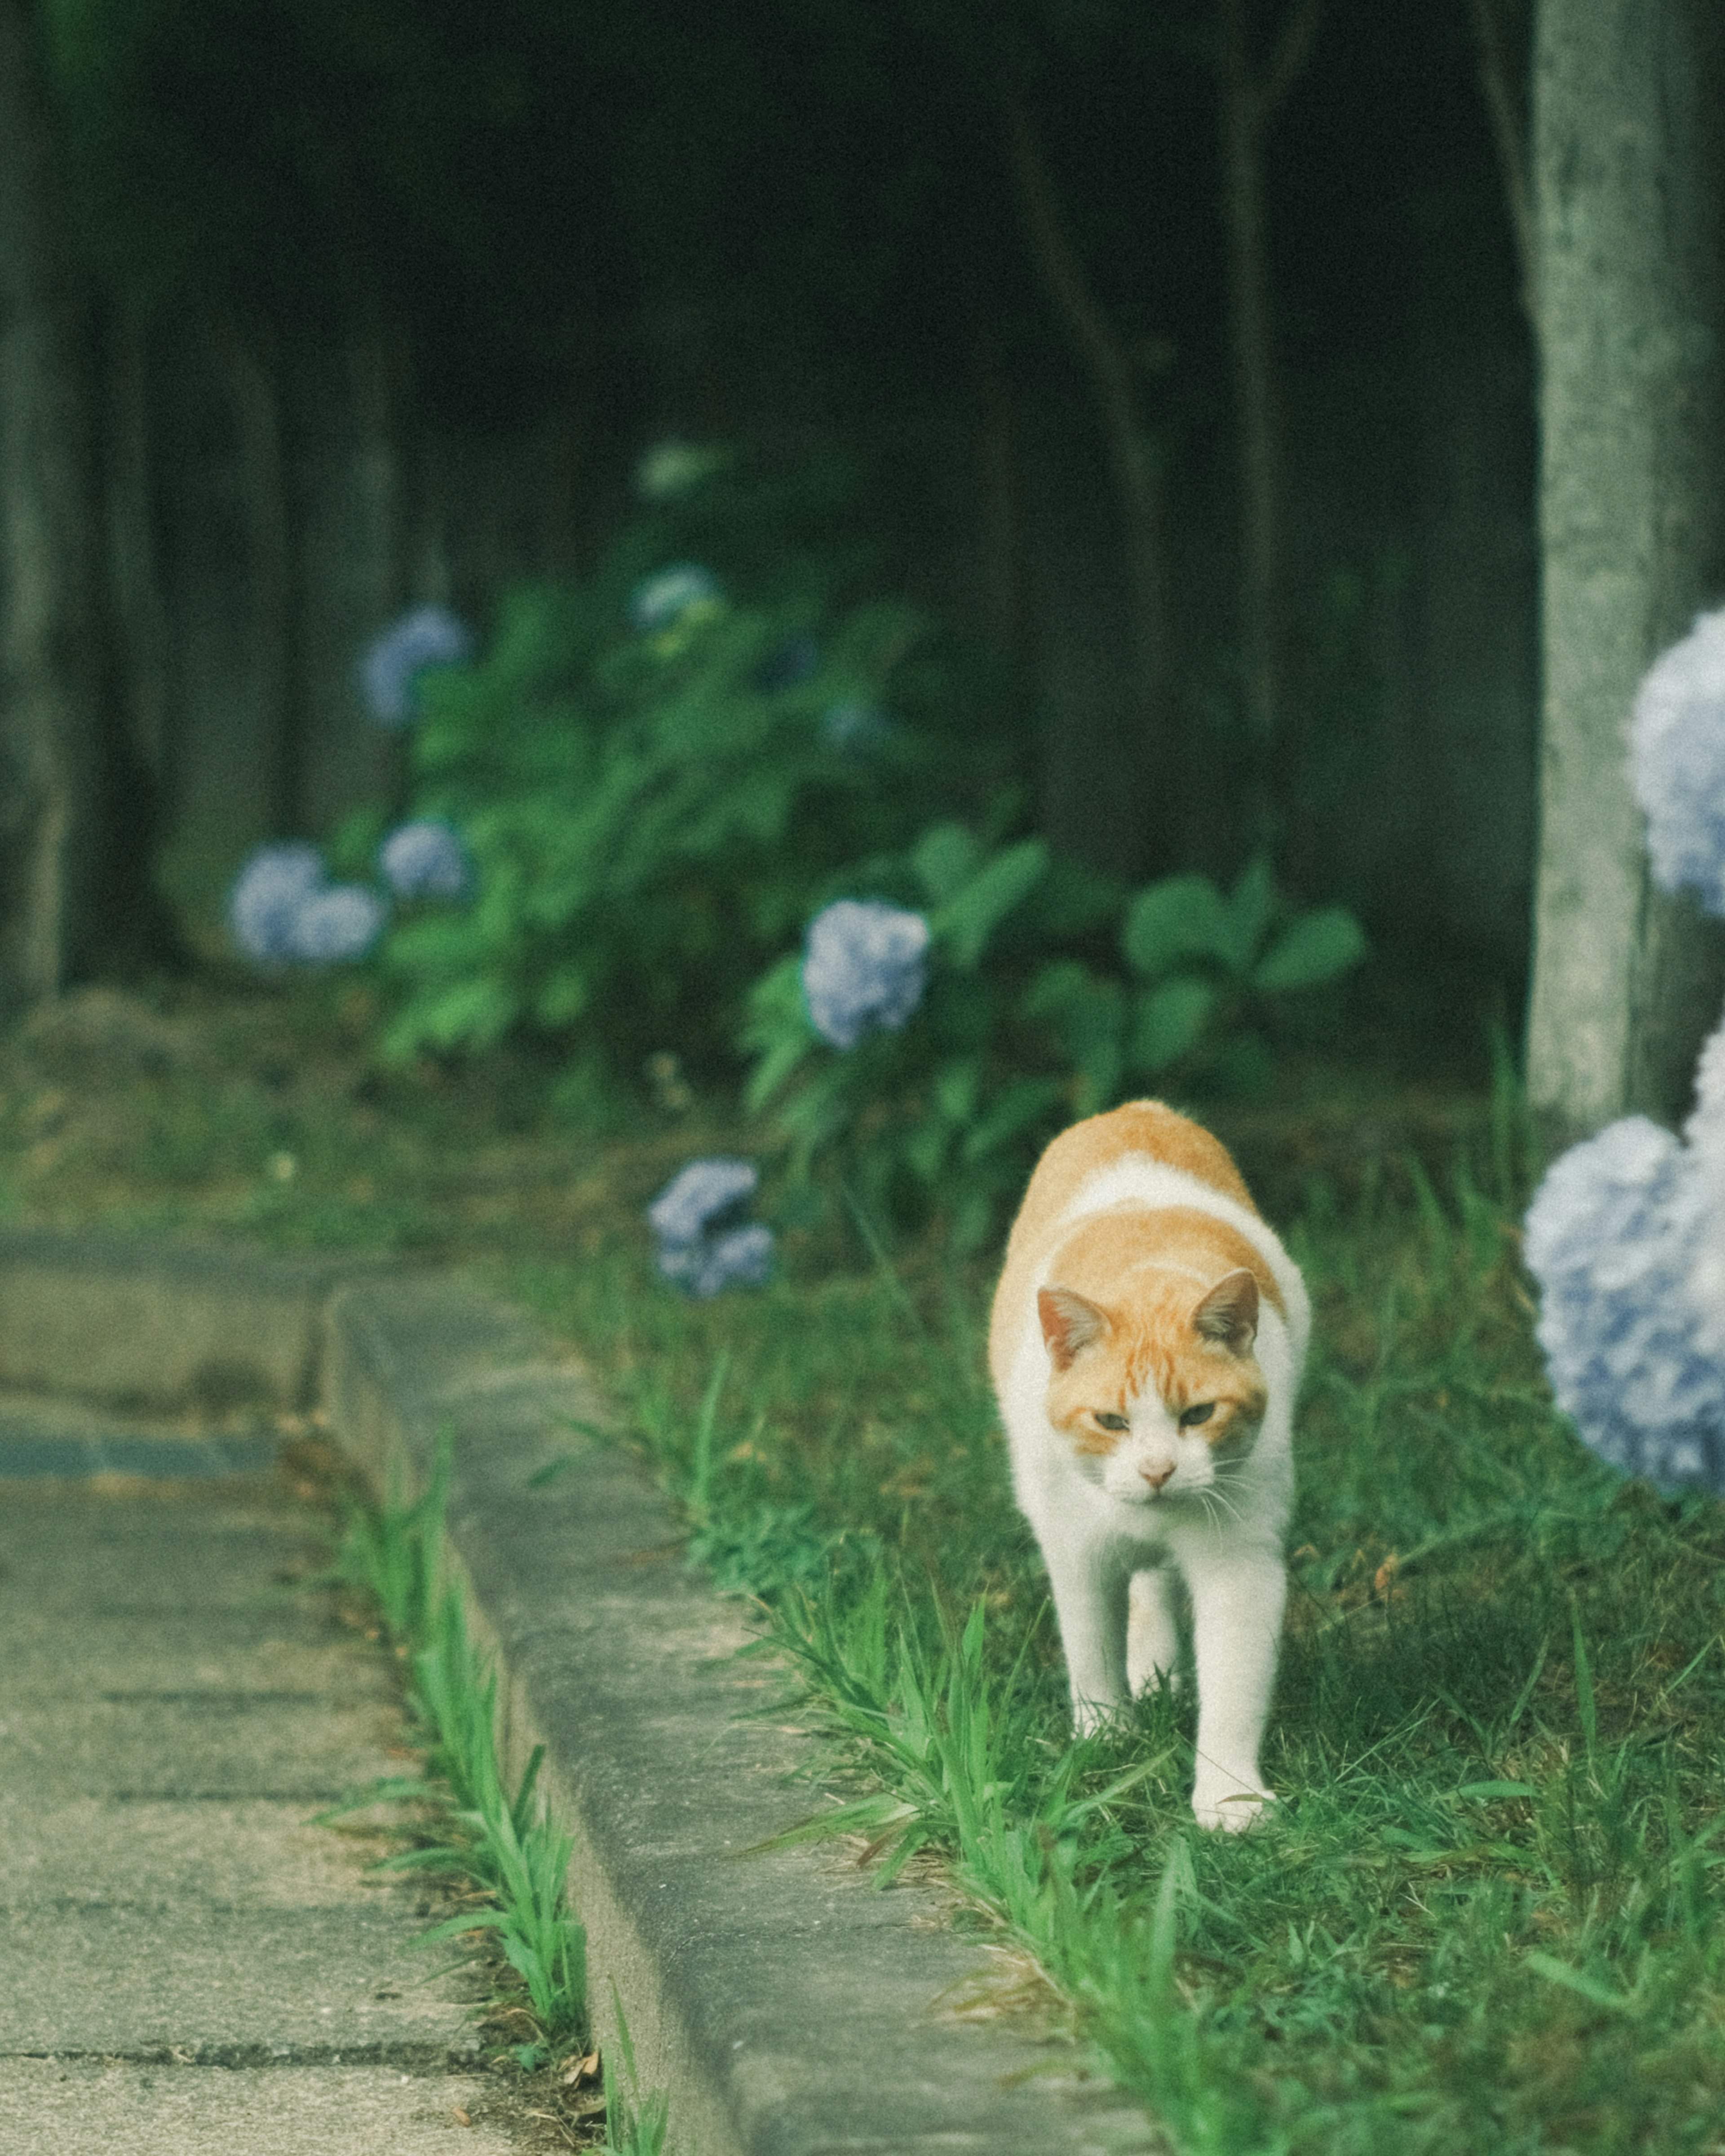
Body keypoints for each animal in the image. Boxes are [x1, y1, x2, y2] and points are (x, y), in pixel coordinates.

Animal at [996, 1104, 1311, 1828]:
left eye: (1198, 1414)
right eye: (1110, 1421)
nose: (1158, 1470)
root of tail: (1135, 1109)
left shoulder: (1239, 1561)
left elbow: (1234, 1686)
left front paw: (1229, 1799)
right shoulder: (1076, 1550)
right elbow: (1090, 1651)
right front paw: (1106, 1737)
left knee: (1155, 1583)